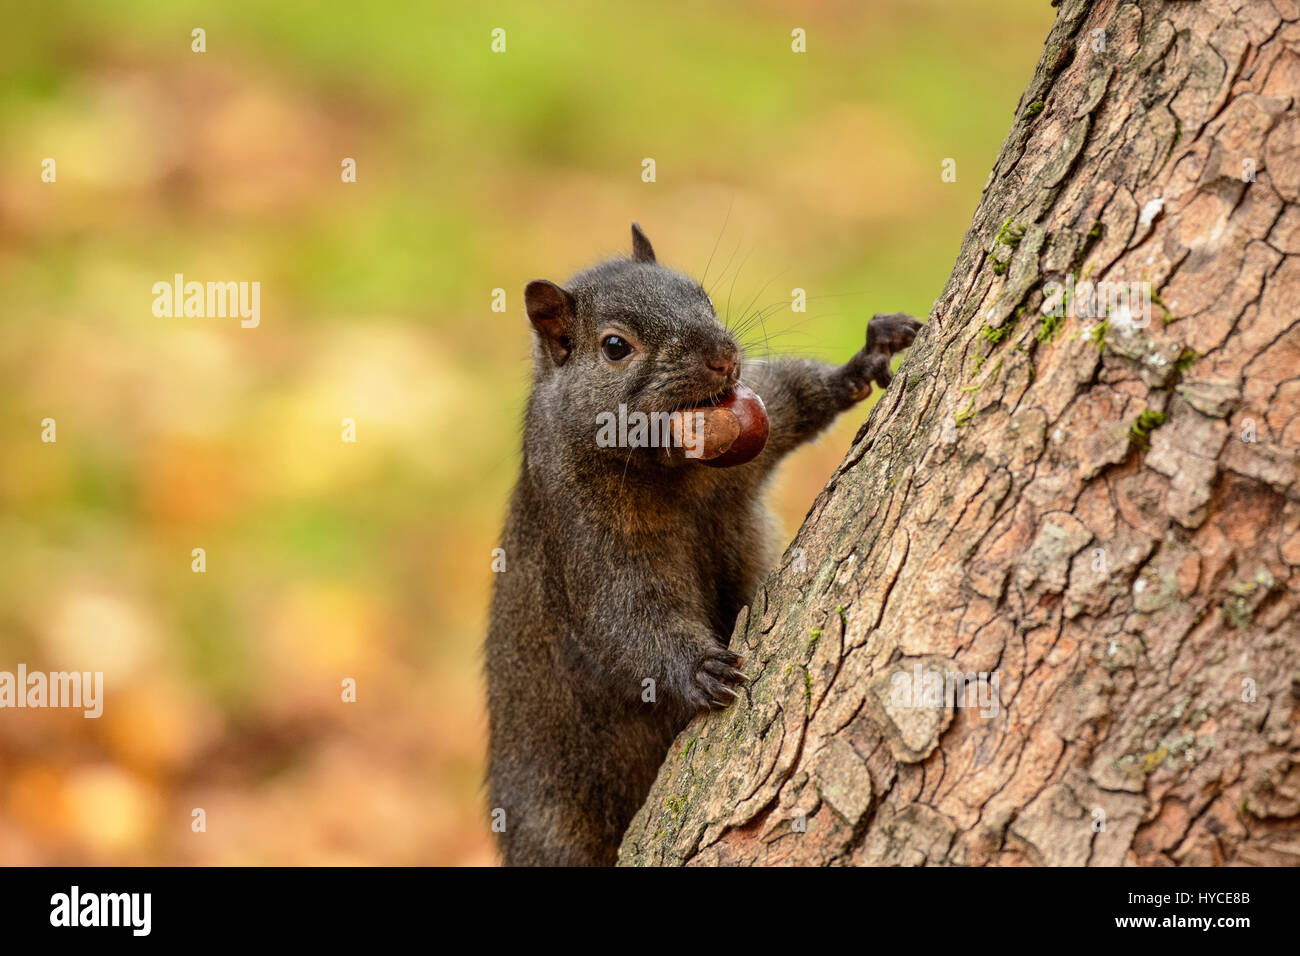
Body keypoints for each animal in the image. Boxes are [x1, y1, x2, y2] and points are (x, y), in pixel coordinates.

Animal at [483, 223, 920, 868]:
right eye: (615, 347)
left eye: (704, 297)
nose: (724, 356)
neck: (677, 466)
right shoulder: (582, 529)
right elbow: (624, 615)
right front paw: (698, 670)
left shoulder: (759, 419)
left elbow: (797, 396)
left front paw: (867, 356)